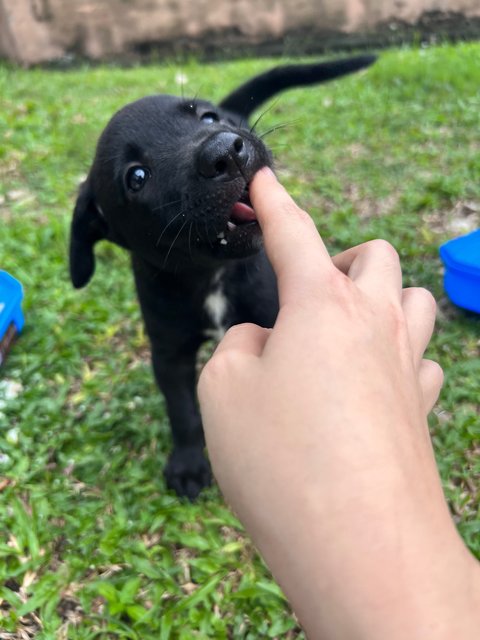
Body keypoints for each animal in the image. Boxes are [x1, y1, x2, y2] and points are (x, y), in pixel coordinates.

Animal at [68, 55, 376, 500]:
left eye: (207, 117)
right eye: (136, 176)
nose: (225, 152)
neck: (210, 277)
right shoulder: (169, 353)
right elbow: (181, 411)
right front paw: (189, 465)